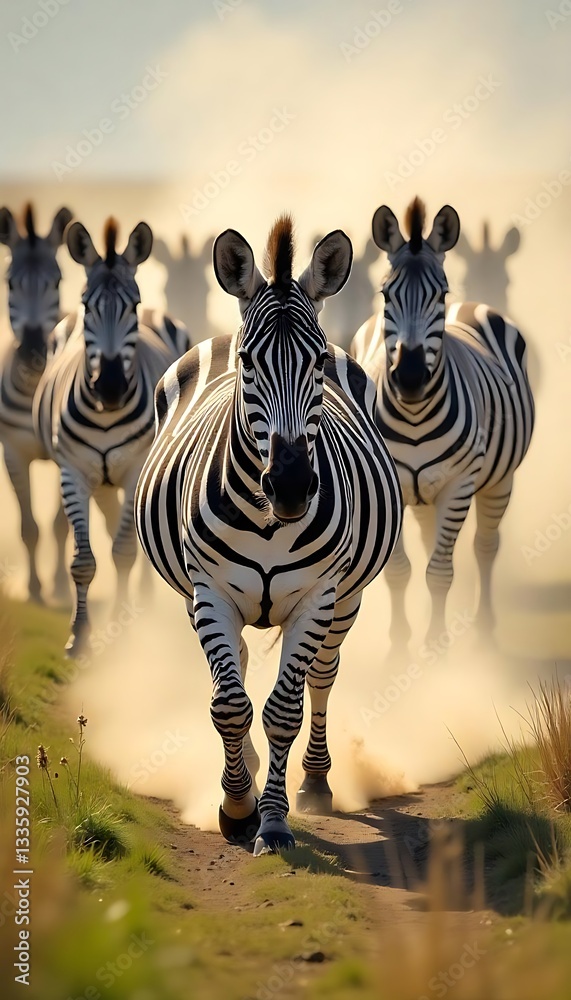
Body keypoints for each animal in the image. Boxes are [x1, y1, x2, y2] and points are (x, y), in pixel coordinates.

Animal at [34, 217, 190, 656]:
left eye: (132, 306)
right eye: (87, 305)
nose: (110, 387)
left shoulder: (136, 470)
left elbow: (124, 552)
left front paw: (121, 631)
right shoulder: (73, 472)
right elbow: (83, 561)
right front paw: (79, 635)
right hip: (100, 480)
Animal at [135, 216, 402, 855]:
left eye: (317, 364)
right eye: (248, 362)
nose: (290, 486)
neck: (266, 521)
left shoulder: (318, 596)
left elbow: (284, 708)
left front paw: (275, 821)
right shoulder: (209, 591)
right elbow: (230, 704)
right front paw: (237, 808)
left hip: (347, 600)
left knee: (322, 678)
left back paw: (317, 783)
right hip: (197, 596)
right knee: (233, 677)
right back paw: (249, 773)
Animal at [351, 198, 534, 647]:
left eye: (441, 293)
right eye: (386, 293)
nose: (411, 376)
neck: (414, 416)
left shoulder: (459, 484)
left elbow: (440, 572)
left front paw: (436, 646)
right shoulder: (395, 486)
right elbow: (399, 571)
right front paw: (400, 644)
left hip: (500, 480)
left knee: (485, 546)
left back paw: (484, 631)